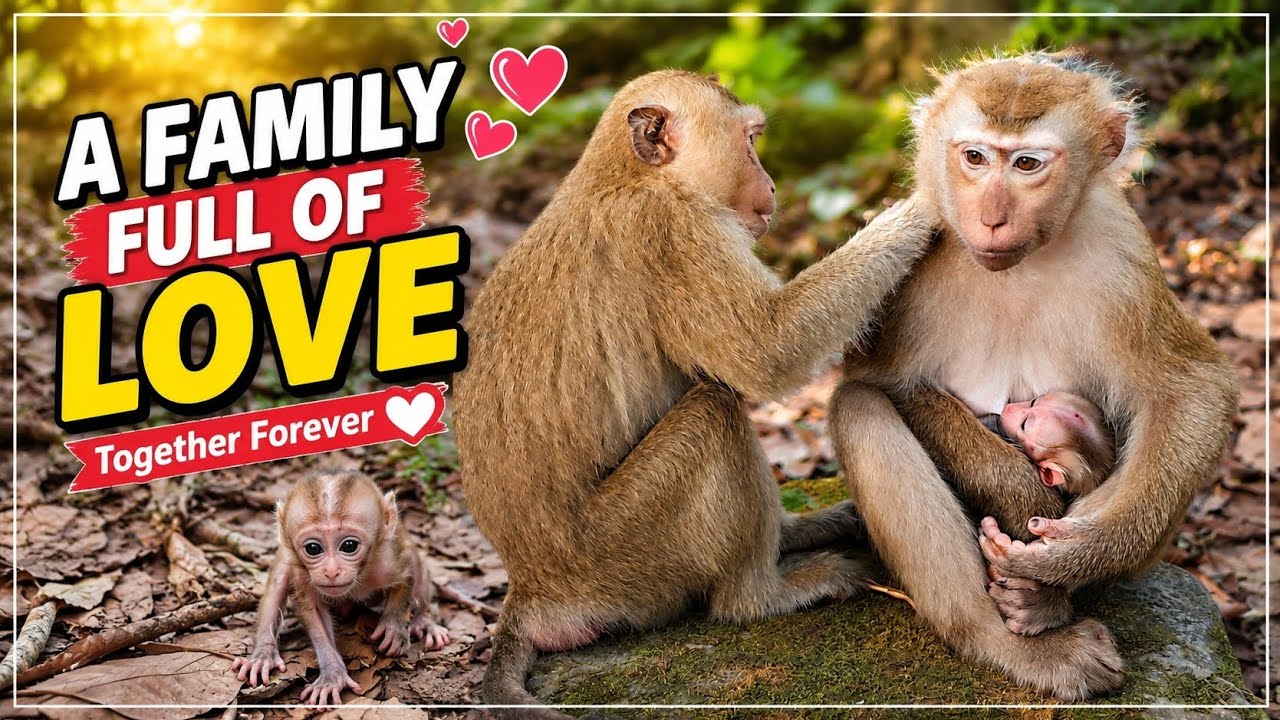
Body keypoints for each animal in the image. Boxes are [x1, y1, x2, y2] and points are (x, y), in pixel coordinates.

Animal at [232, 471, 450, 705]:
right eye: (313, 548)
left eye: (349, 546)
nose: (331, 571)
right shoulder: (302, 573)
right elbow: (313, 611)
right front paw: (332, 675)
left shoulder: (389, 561)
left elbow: (407, 574)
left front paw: (394, 626)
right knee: (280, 576)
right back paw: (262, 655)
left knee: (419, 564)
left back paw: (424, 622)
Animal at [451, 70, 938, 717]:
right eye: (750, 140)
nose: (771, 184)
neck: (629, 176)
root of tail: (534, 590)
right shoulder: (672, 230)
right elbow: (767, 349)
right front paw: (926, 206)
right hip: (621, 554)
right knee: (714, 410)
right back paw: (761, 595)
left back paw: (794, 533)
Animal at [827, 51, 1237, 700]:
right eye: (975, 157)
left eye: (1026, 164)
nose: (992, 218)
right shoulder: (916, 251)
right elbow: (878, 382)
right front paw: (1017, 489)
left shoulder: (1122, 250)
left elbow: (1189, 389)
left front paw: (1077, 554)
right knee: (860, 408)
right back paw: (1011, 642)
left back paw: (1040, 600)